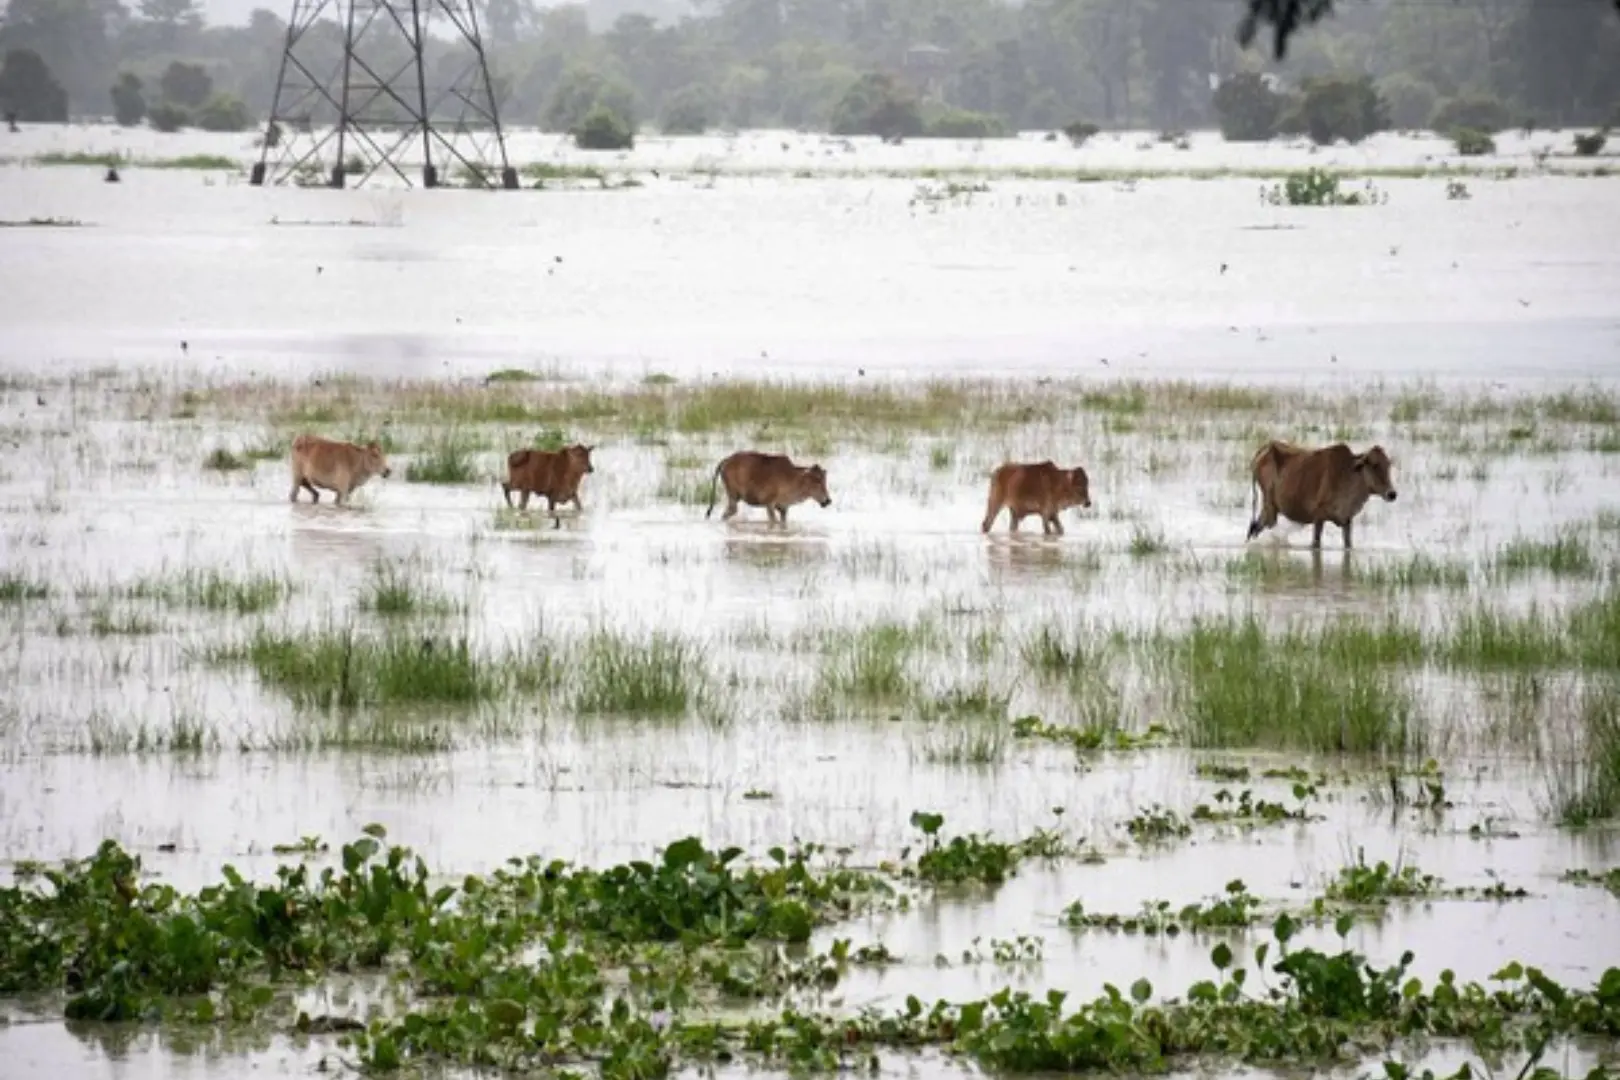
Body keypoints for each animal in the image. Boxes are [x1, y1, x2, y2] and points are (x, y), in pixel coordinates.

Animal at [706, 453, 835, 524]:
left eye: (824, 480)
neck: (794, 478)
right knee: (730, 511)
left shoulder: (784, 508)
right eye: (816, 480)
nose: (827, 500)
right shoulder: (769, 505)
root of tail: (727, 460)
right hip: (733, 495)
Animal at [1244, 440, 1399, 550]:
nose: (1392, 494)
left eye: (1388, 465)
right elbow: (1315, 543)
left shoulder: (1347, 520)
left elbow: (1348, 544)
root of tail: (1267, 446)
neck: (1348, 475)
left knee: (1255, 528)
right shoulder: (1318, 517)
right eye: (1374, 465)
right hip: (1270, 507)